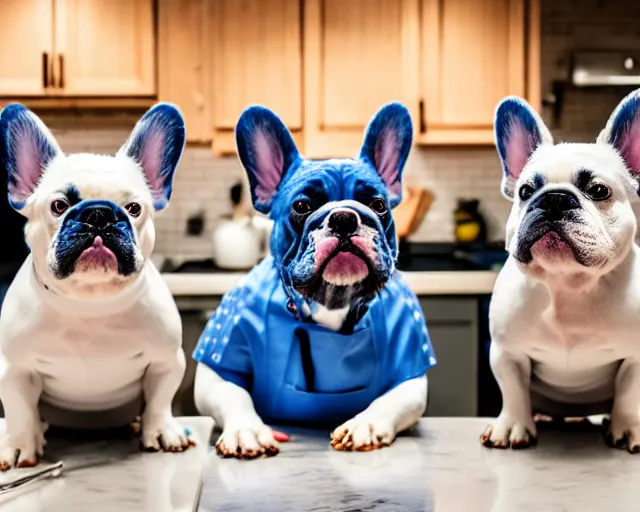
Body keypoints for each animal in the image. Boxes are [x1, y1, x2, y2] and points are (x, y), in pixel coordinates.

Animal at [194, 102, 436, 458]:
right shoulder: (217, 364)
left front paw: (366, 424)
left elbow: (389, 399)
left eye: (378, 205)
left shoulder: (411, 373)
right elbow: (233, 394)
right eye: (302, 206)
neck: (332, 300)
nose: (345, 217)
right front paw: (246, 430)